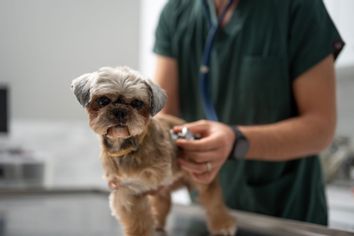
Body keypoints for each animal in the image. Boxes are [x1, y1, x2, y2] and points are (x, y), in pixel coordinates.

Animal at [71, 65, 238, 235]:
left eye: (137, 103)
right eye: (103, 100)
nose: (120, 111)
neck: (128, 147)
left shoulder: (151, 178)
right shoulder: (125, 191)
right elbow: (137, 219)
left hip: (199, 173)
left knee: (212, 197)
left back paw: (222, 224)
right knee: (164, 199)